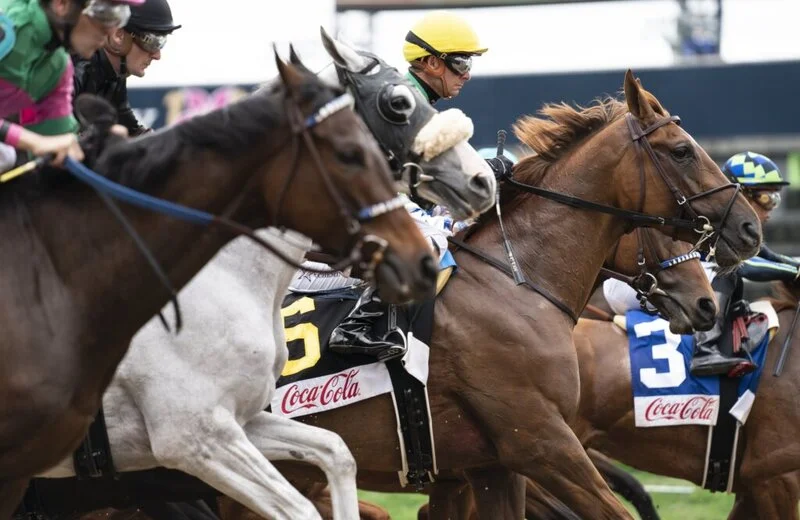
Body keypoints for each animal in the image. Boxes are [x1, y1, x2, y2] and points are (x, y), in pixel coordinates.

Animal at [36, 34, 494, 516]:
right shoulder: (194, 433)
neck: (221, 279)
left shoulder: (246, 419)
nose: (482, 179)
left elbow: (336, 453)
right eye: (398, 103)